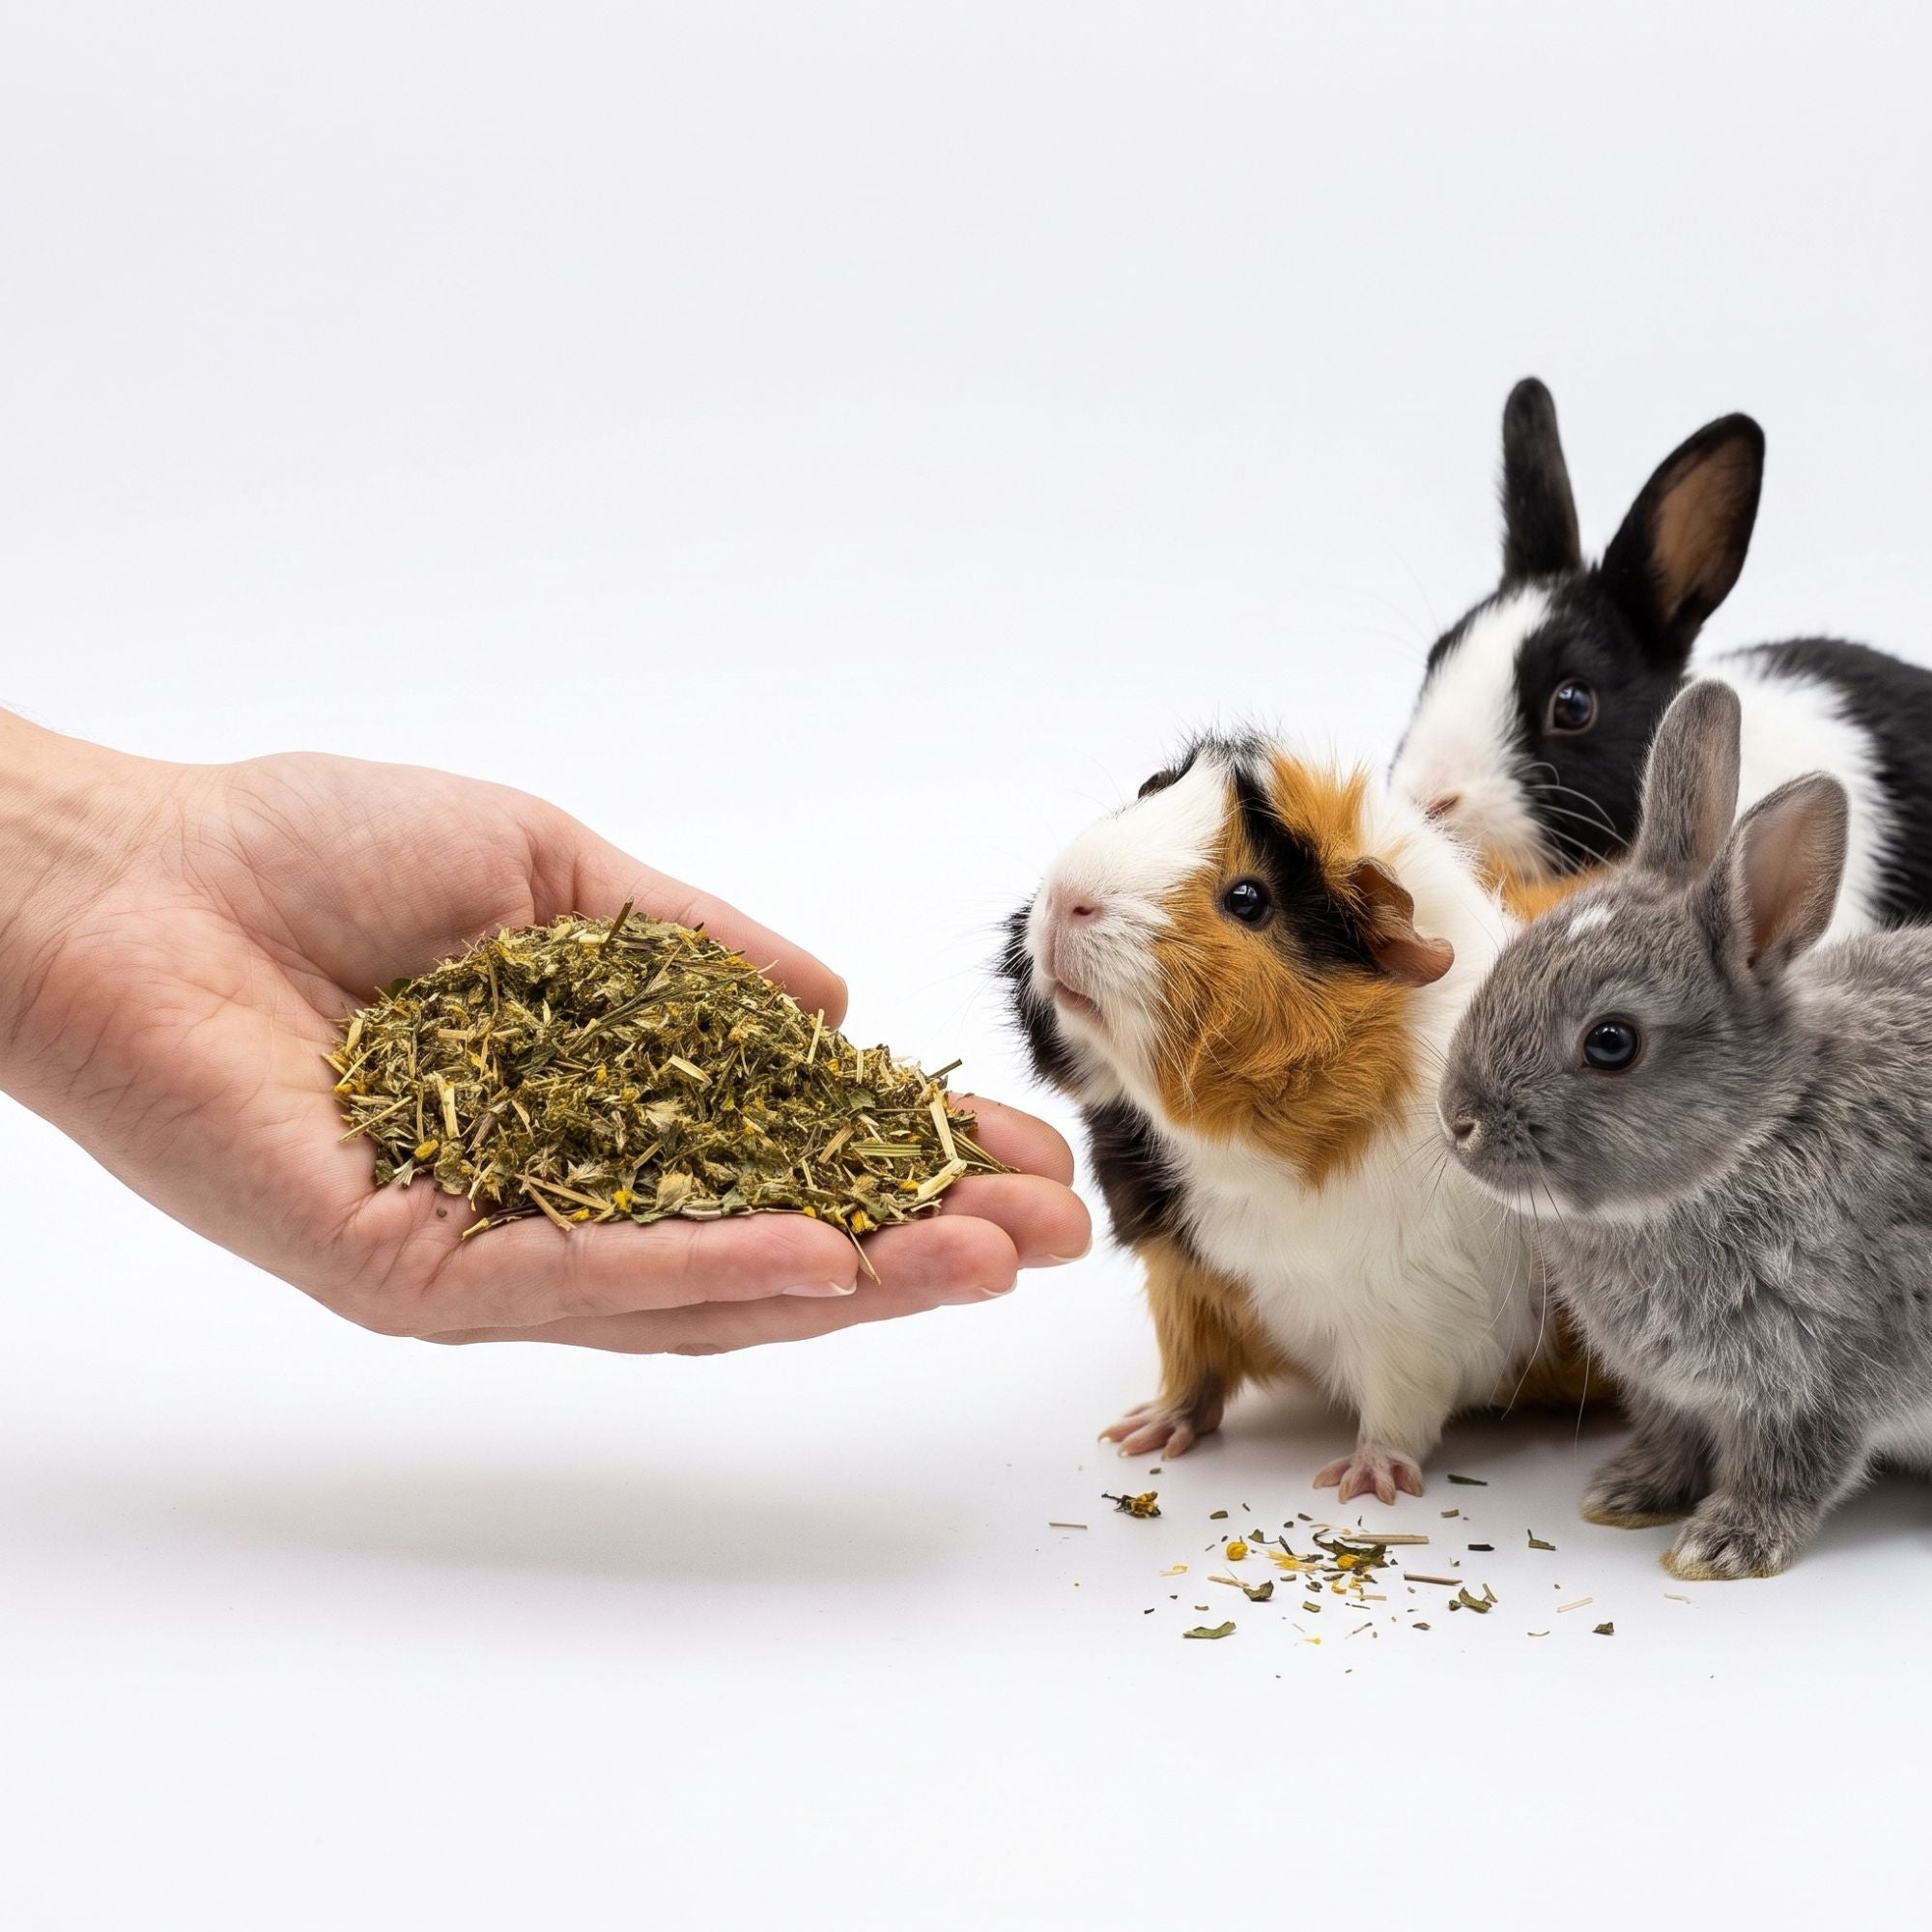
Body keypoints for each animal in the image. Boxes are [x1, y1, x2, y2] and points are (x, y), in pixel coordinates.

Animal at [1000, 731, 1594, 1504]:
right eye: (1149, 791)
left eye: (1248, 899)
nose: (1068, 897)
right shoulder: (1183, 1282)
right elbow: (1191, 1375)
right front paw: (1141, 1434)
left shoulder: (1420, 1321)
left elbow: (1399, 1412)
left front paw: (1362, 1483)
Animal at [1440, 678, 1932, 1579]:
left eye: (1612, 1042)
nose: (1458, 1122)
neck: (1754, 1139)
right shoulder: (1669, 1390)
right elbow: (1671, 1437)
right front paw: (1627, 1494)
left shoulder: (1824, 1377)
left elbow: (1792, 1466)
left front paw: (1722, 1545)